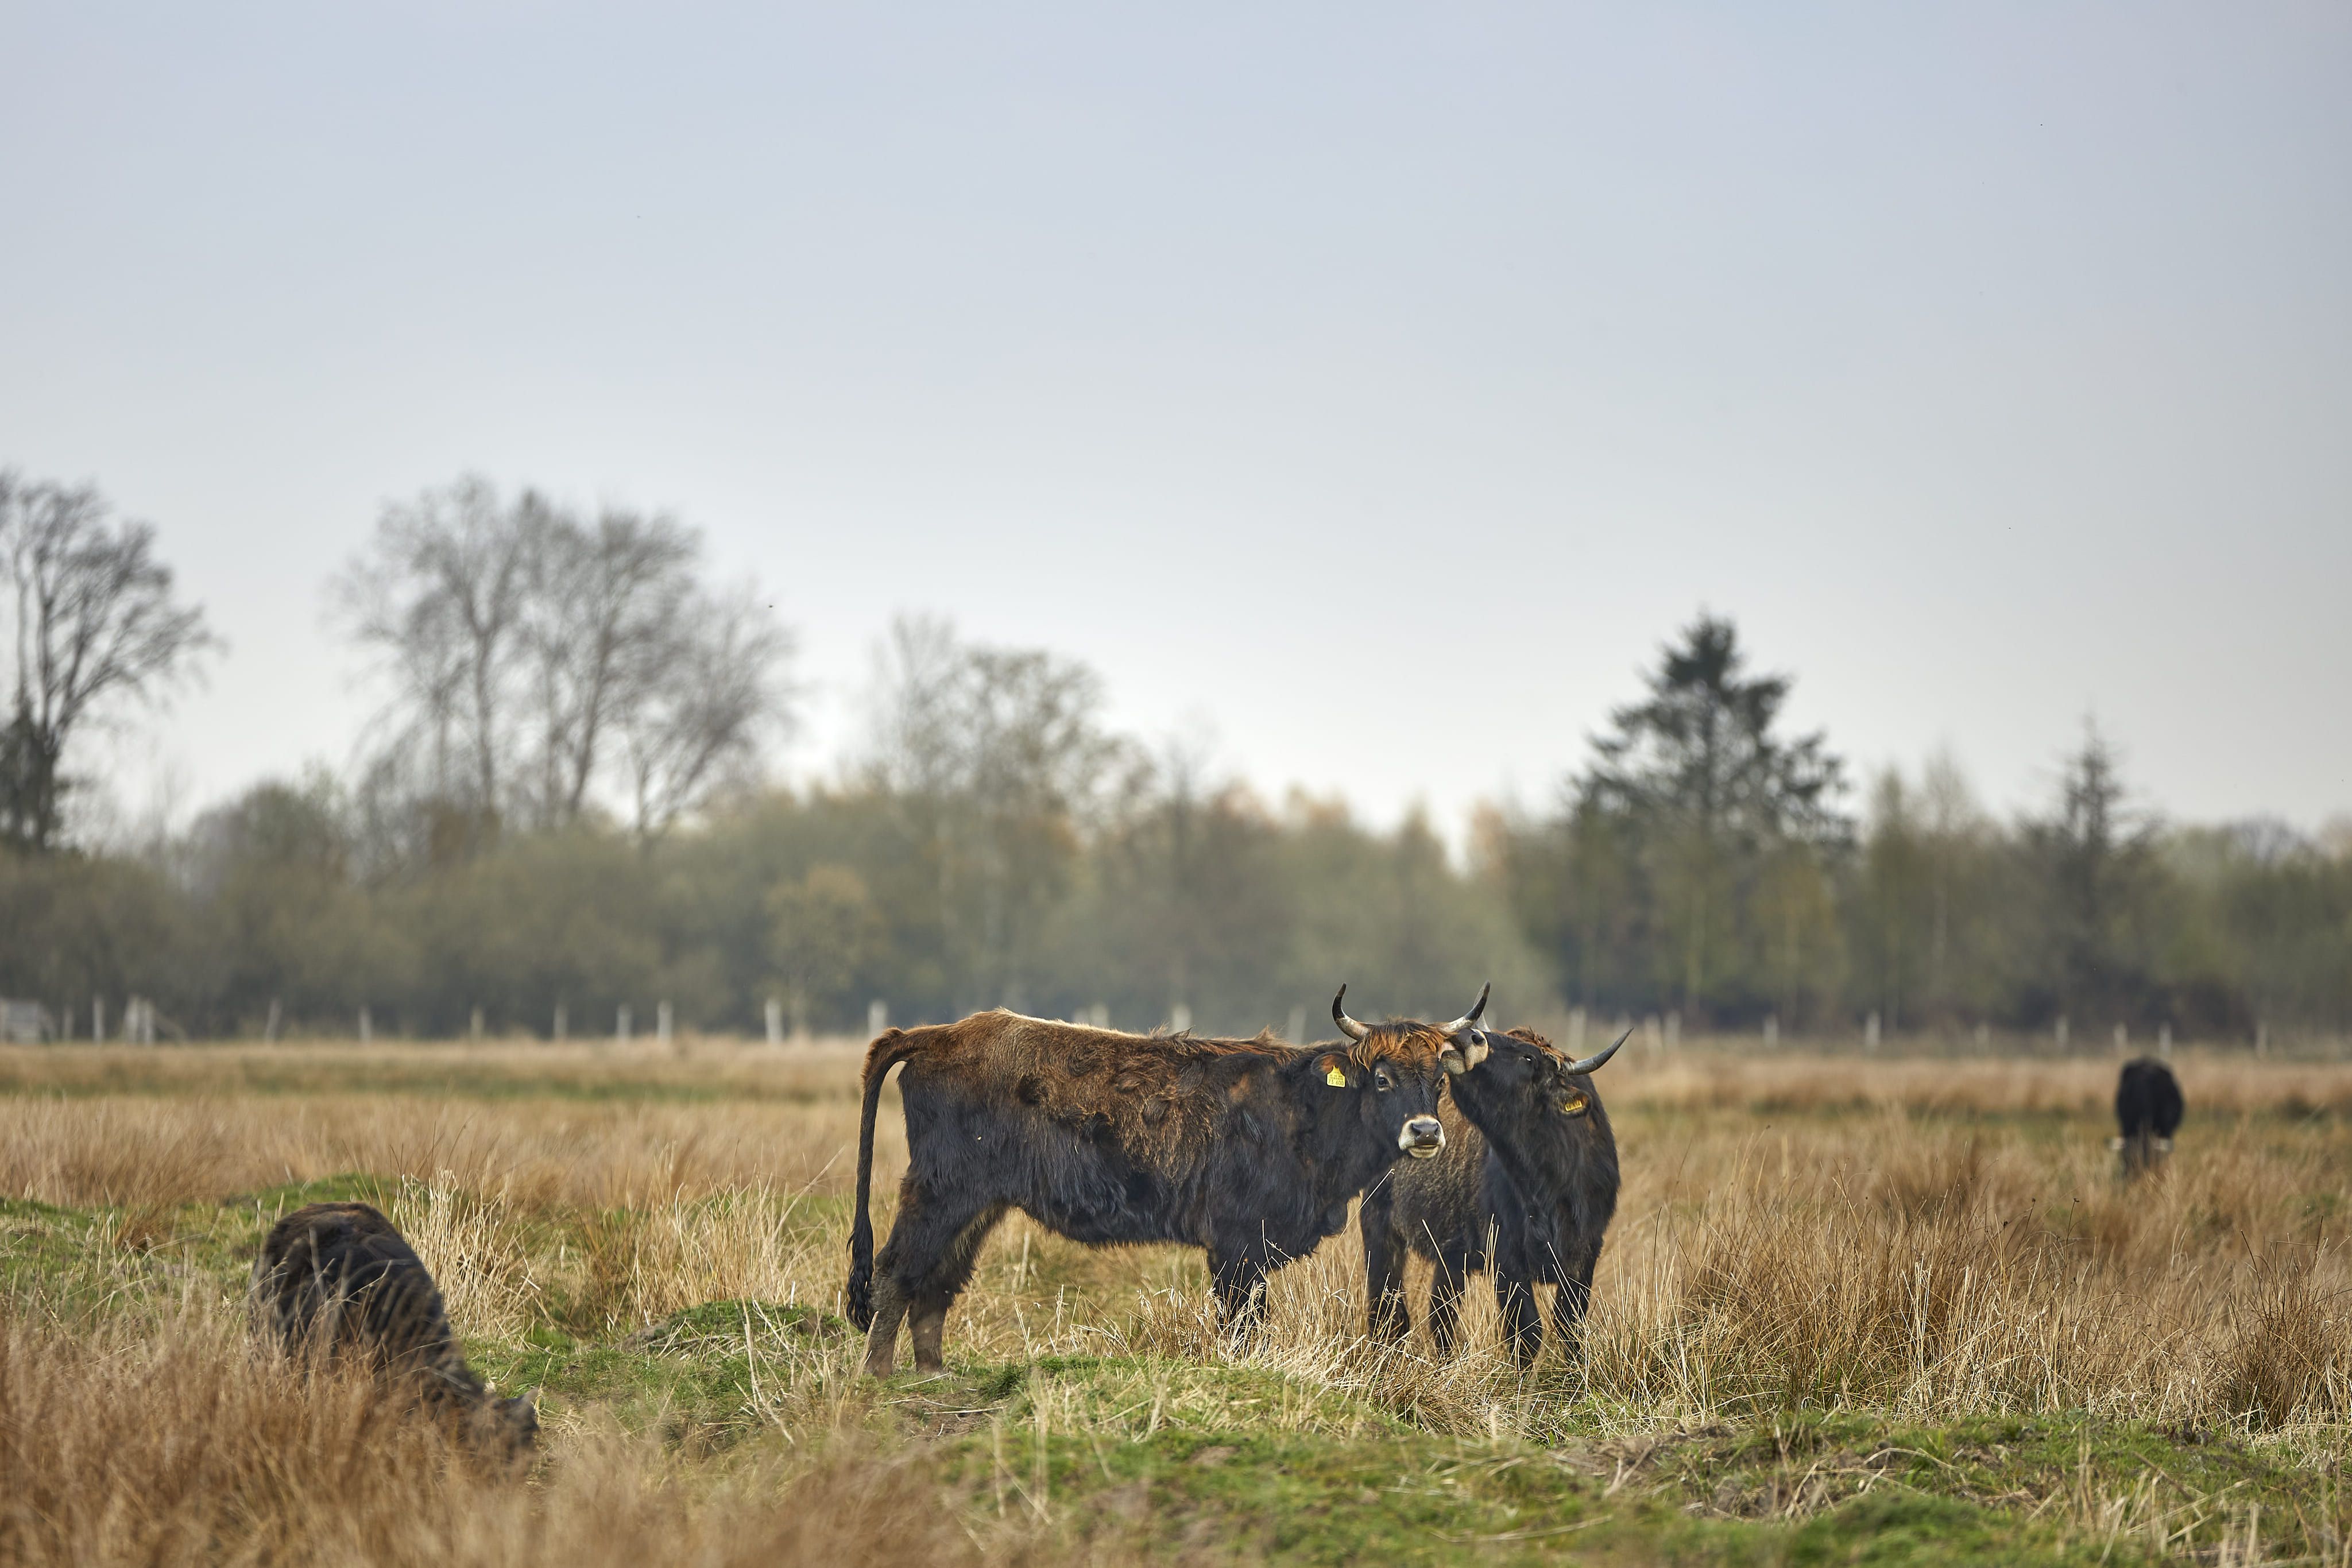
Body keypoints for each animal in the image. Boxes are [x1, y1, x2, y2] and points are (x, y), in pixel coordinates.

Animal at [846, 986, 1495, 1377]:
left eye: (1439, 1078)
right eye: (1382, 1078)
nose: (1425, 1131)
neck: (1303, 1110)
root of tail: (937, 1033)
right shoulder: (1236, 1245)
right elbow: (1241, 1324)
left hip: (977, 1202)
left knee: (938, 1280)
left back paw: (934, 1371)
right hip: (940, 1189)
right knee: (896, 1269)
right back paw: (878, 1375)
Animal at [1362, 1023, 1628, 1366]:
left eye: (1529, 1058)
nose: (1468, 1036)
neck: (1548, 1185)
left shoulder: (1584, 1255)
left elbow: (1570, 1327)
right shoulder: (1506, 1261)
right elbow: (1526, 1333)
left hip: (1451, 1257)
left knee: (1440, 1315)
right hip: (1379, 1232)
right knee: (1386, 1311)